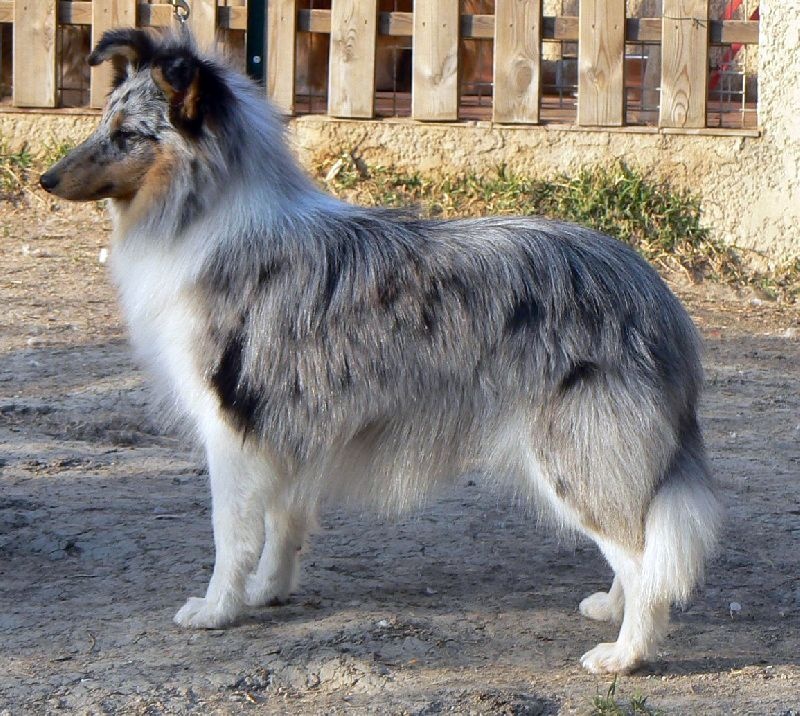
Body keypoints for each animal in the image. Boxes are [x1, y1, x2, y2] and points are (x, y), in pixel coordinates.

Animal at [39, 28, 721, 675]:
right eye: (104, 121)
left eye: (127, 134)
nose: (44, 179)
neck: (209, 216)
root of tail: (655, 297)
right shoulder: (287, 431)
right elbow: (282, 525)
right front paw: (268, 593)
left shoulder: (234, 425)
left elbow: (231, 535)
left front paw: (217, 609)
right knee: (641, 545)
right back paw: (611, 607)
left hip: (572, 454)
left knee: (644, 560)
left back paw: (625, 654)